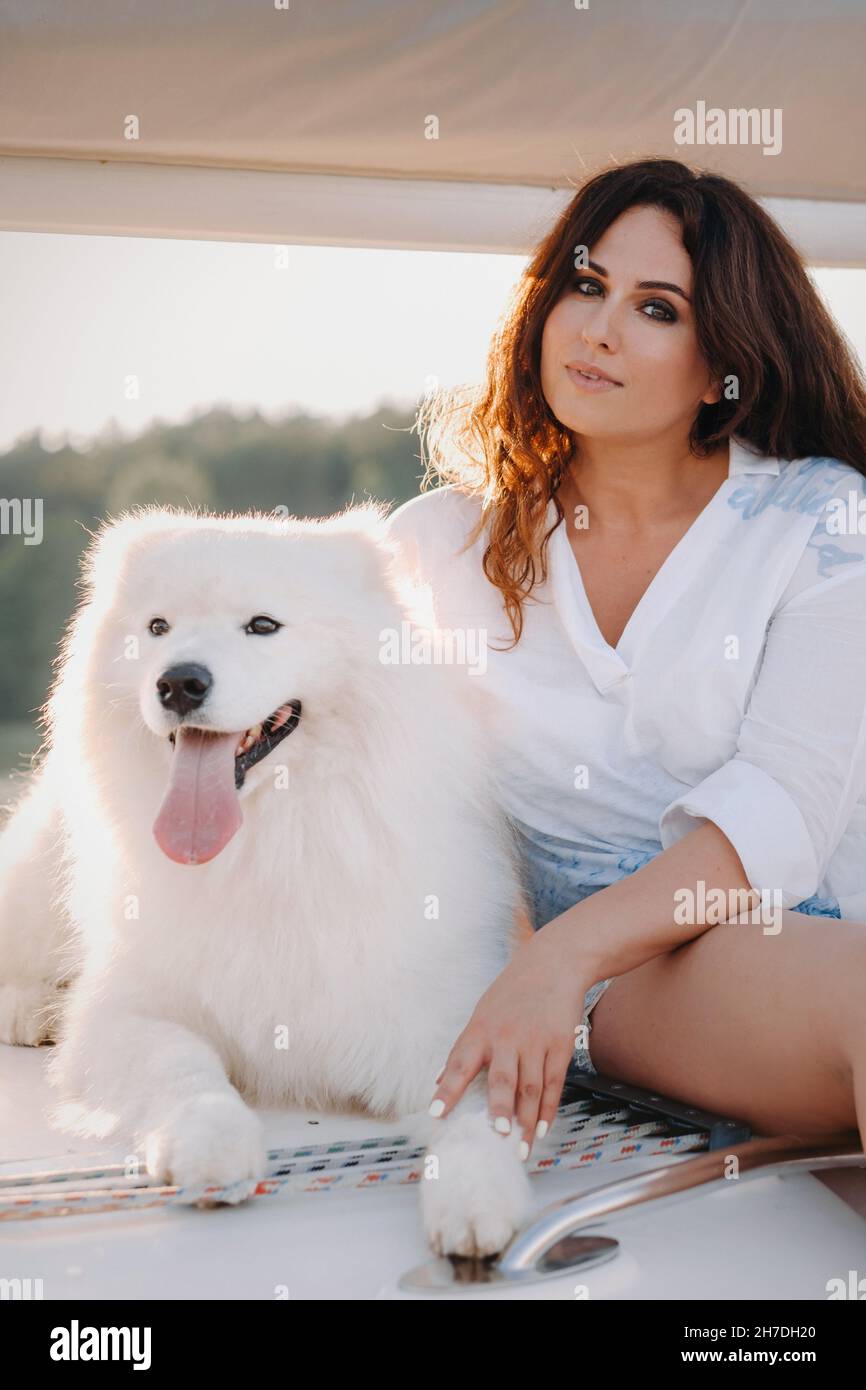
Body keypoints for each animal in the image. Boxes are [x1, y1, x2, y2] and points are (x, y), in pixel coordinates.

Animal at [0, 503, 536, 1262]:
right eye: (157, 628)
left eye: (262, 625)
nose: (179, 682)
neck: (271, 841)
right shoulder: (129, 1014)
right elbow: (185, 1065)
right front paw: (212, 1143)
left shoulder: (452, 1026)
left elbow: (476, 1116)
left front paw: (476, 1195)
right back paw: (35, 1009)